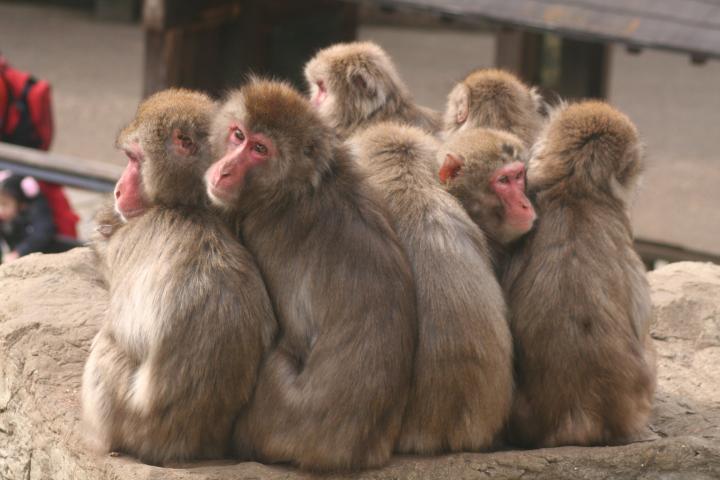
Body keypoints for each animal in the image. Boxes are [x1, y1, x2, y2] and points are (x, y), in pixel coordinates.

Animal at [81, 89, 278, 464]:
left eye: (133, 158)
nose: (116, 190)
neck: (190, 207)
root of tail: (182, 446)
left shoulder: (132, 239)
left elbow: (122, 329)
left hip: (129, 419)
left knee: (107, 347)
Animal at [202, 79, 416, 472]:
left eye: (259, 149)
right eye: (238, 135)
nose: (223, 170)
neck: (296, 188)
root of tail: (355, 450)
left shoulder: (263, 231)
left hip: (278, 418)